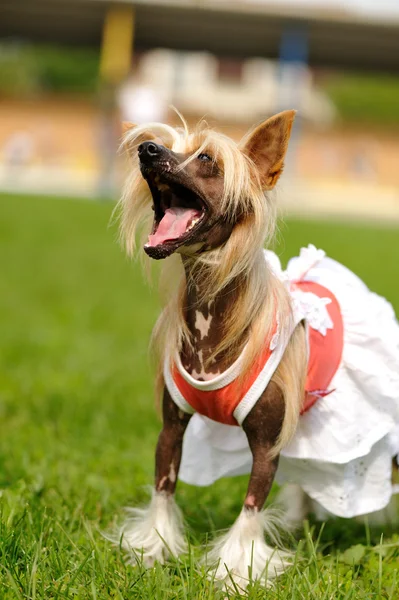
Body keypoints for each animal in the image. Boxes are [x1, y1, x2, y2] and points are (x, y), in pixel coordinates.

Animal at [111, 110, 399, 588]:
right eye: (164, 143)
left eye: (206, 158)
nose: (148, 150)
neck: (213, 326)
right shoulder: (171, 428)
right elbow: (163, 490)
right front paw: (153, 549)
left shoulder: (266, 446)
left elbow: (249, 511)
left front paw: (235, 572)